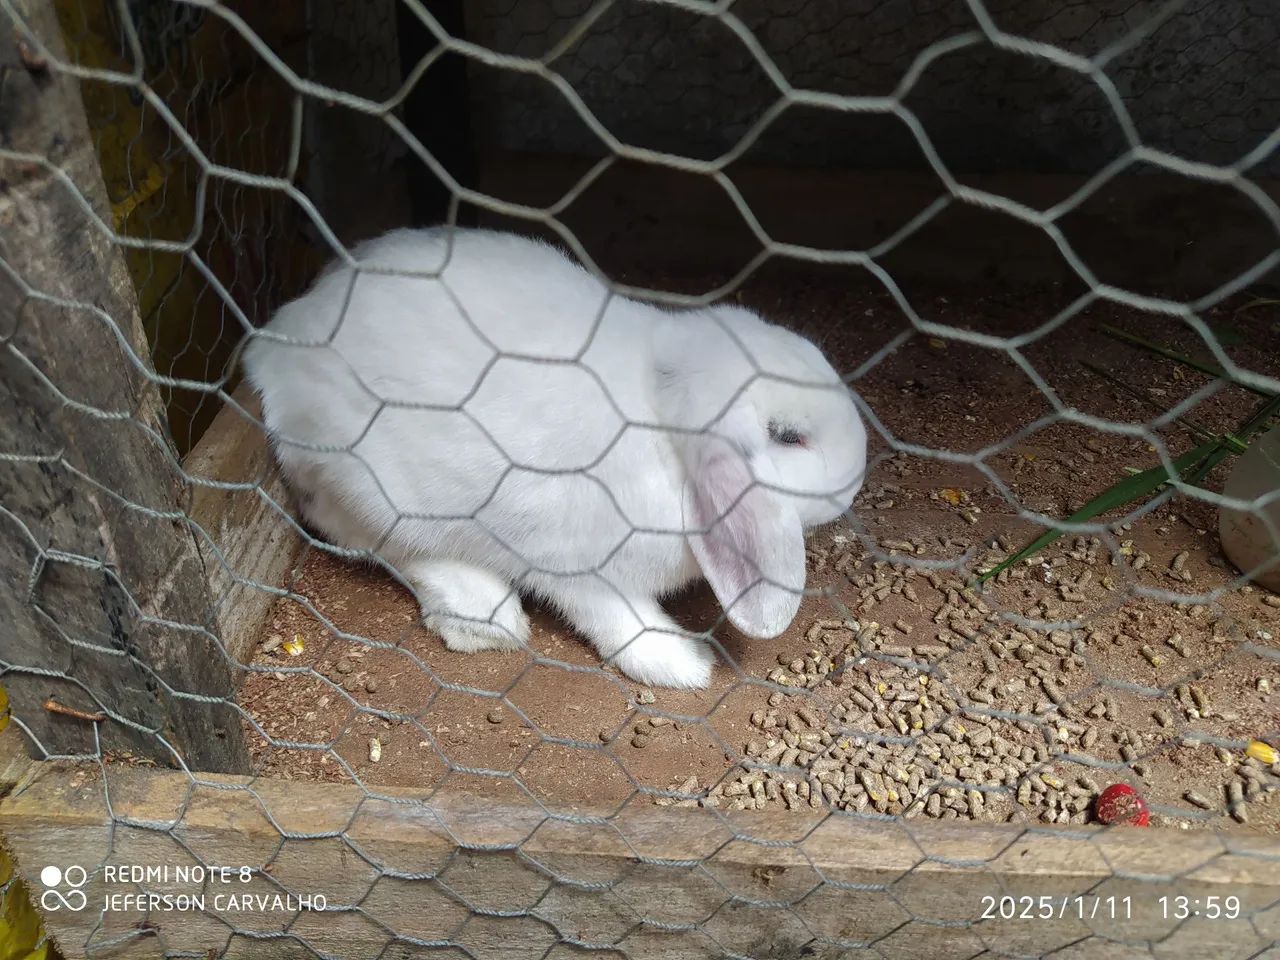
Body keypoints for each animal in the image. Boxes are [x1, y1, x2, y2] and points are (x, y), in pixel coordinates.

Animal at [242, 228, 867, 688]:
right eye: (788, 437)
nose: (858, 471)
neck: (662, 427)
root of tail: (271, 355)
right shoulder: (583, 569)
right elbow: (620, 621)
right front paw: (685, 666)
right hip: (368, 486)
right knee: (369, 538)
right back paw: (484, 616)